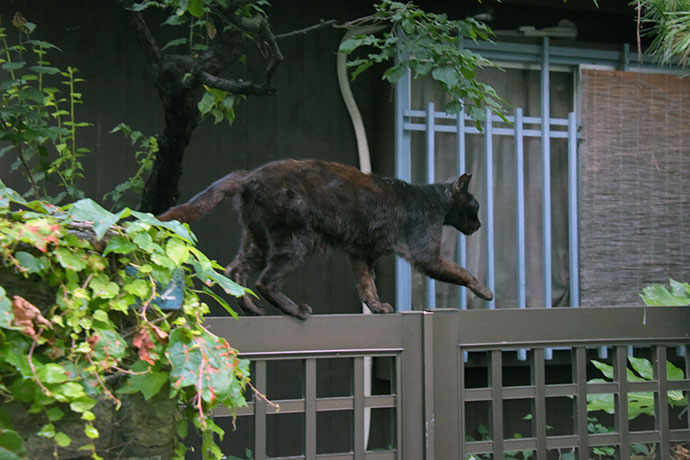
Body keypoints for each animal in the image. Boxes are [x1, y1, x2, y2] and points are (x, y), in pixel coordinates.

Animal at [157, 160, 490, 318]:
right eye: (475, 207)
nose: (479, 225)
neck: (435, 202)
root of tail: (251, 175)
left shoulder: (360, 254)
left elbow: (366, 285)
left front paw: (377, 307)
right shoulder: (426, 255)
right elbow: (460, 271)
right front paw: (484, 291)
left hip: (258, 239)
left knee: (234, 271)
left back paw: (251, 308)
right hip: (294, 242)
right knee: (265, 281)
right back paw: (295, 310)